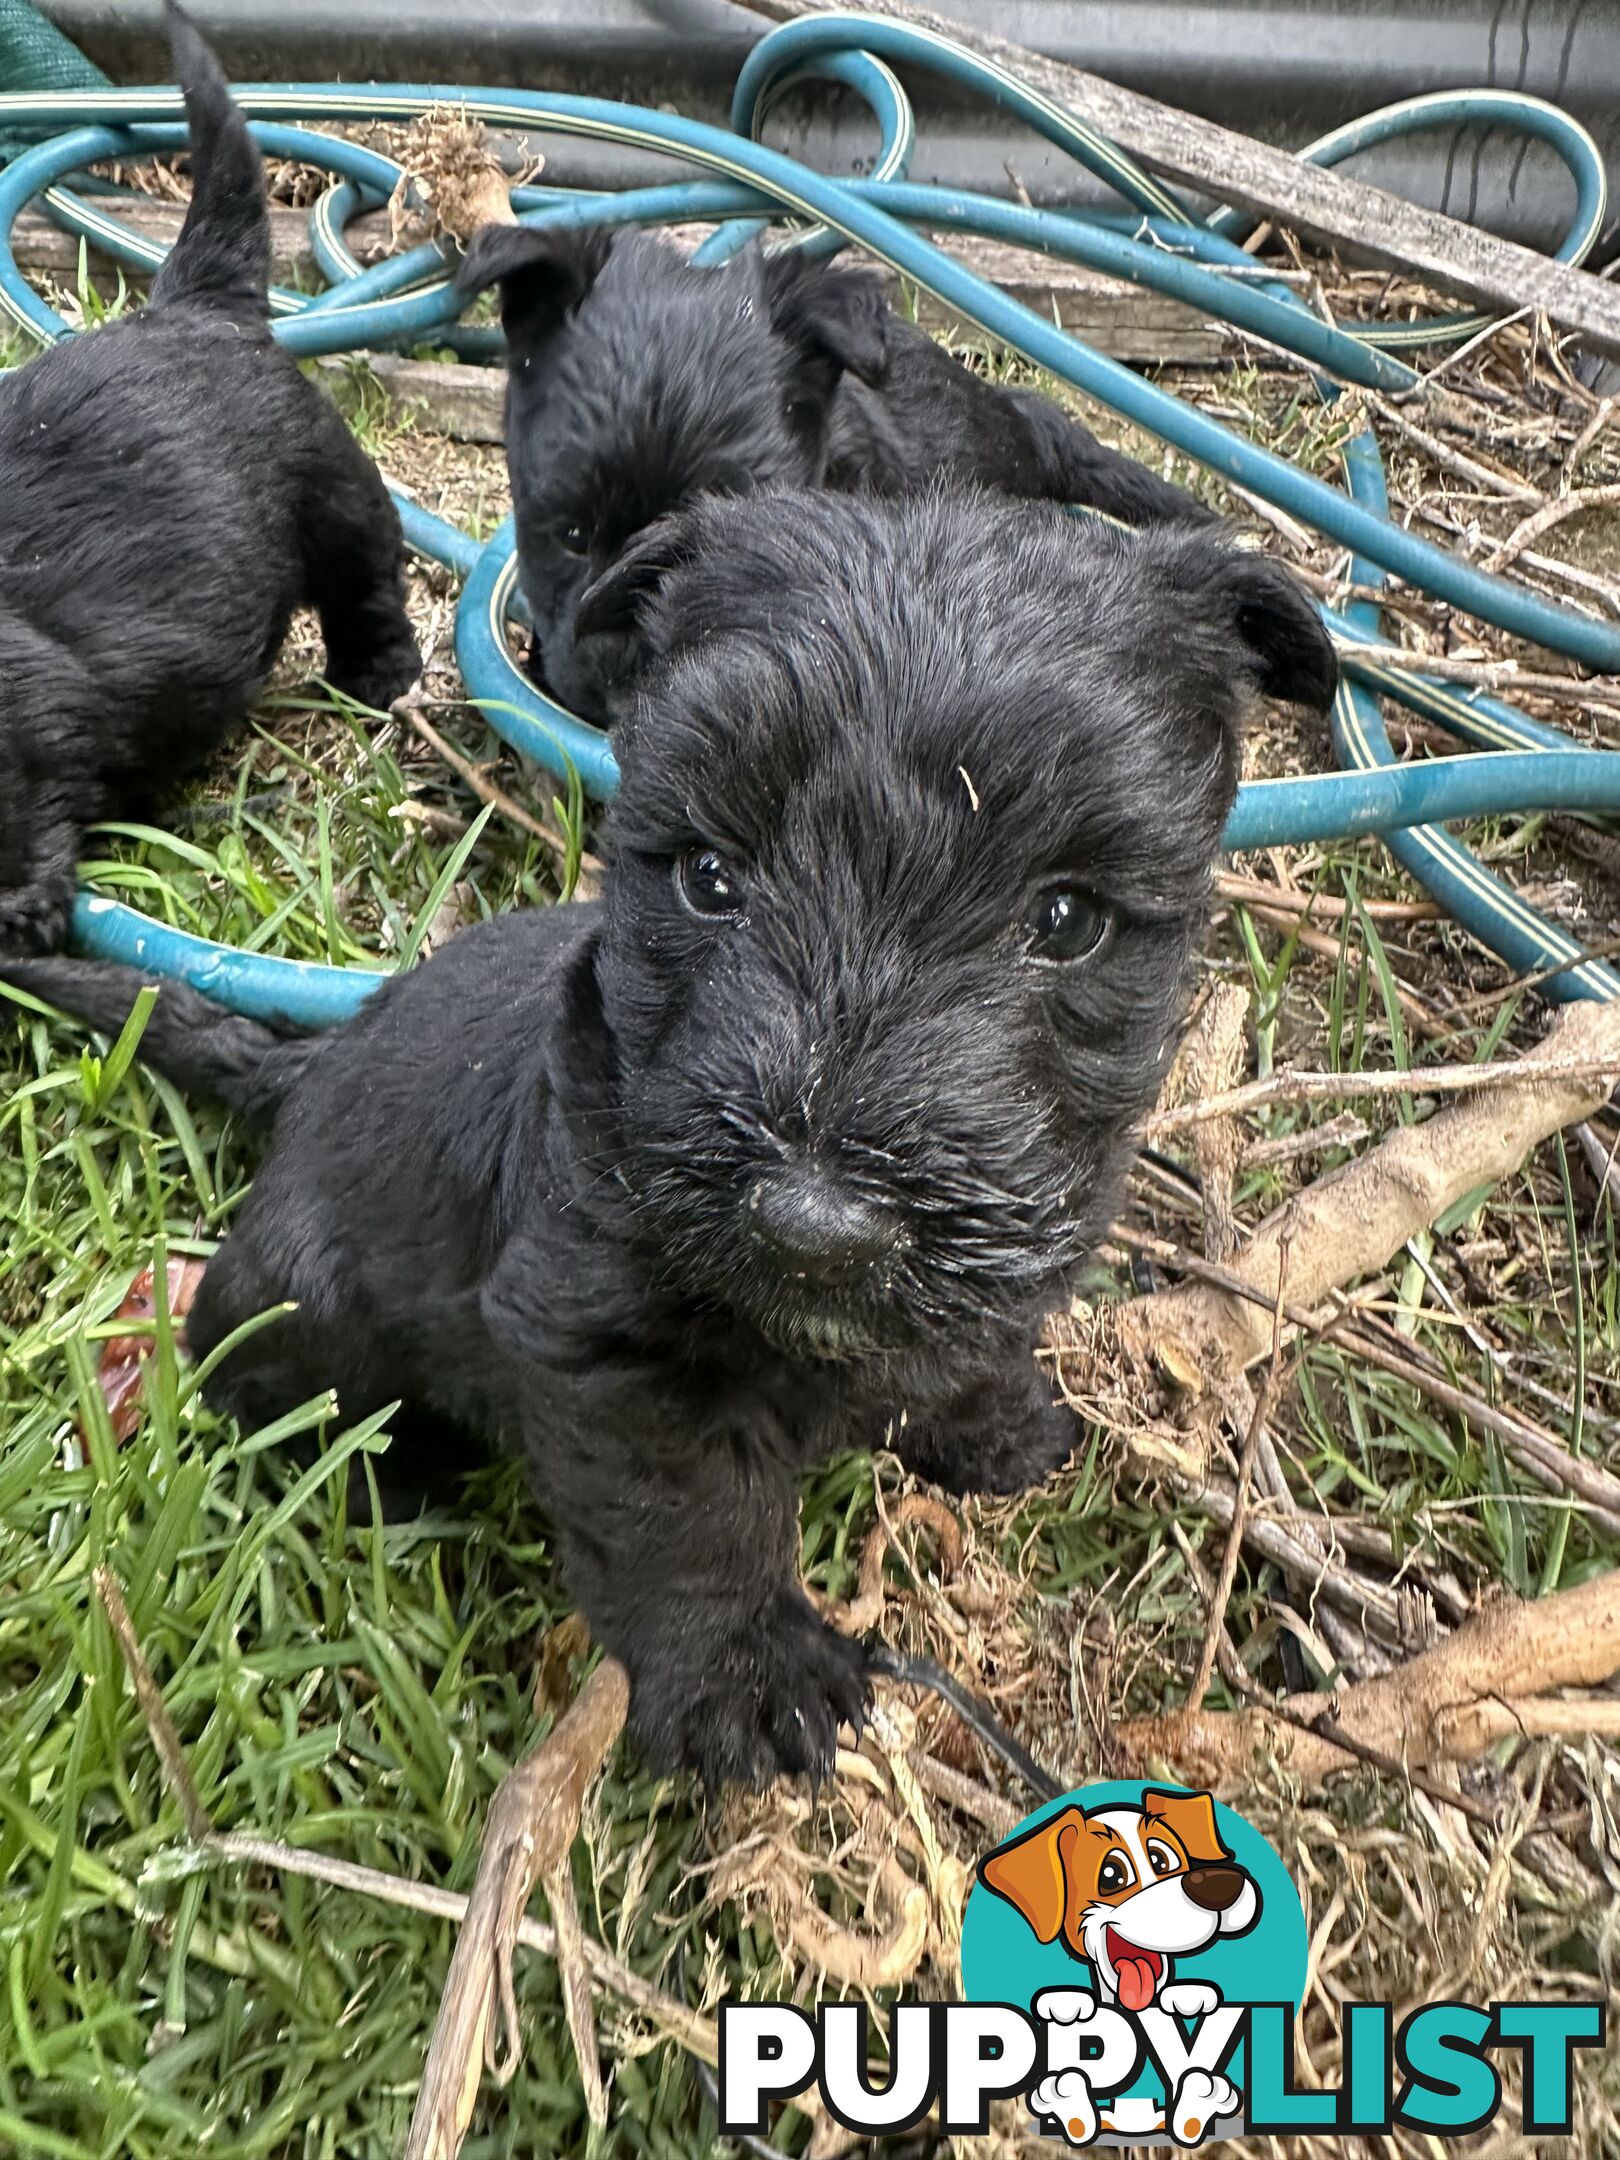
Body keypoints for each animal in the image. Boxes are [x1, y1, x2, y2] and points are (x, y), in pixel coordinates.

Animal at [0, 0, 425, 950]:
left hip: (335, 492)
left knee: (369, 583)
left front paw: (23, 911)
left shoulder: (27, 715)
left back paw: (379, 678)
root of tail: (197, 303)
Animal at [6, 486, 1339, 1788]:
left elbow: (959, 1344)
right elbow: (689, 1522)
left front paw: (989, 1417)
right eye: (707, 876)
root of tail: (311, 1065)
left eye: (1065, 920)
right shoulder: (605, 1348)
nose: (815, 1230)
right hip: (304, 1304)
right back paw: (390, 1469)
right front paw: (749, 1682)